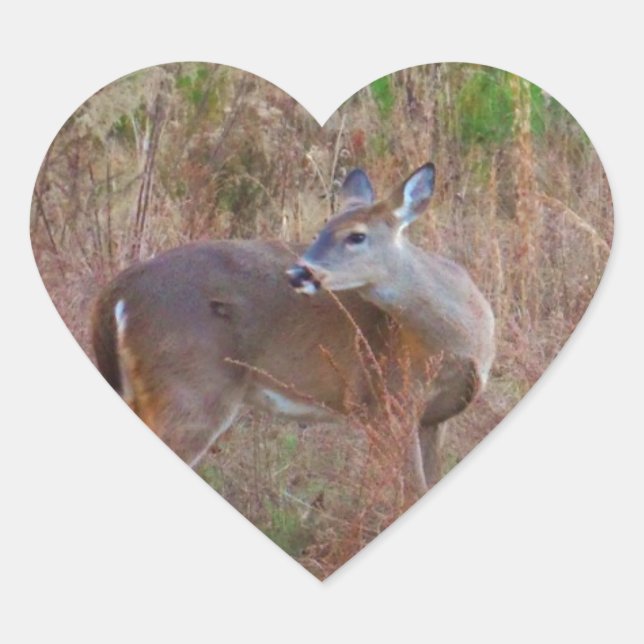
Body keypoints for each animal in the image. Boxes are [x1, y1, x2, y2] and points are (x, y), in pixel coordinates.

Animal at [92, 162, 495, 498]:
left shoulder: (432, 418)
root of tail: (118, 291)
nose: (300, 272)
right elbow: (408, 492)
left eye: (356, 236)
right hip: (190, 389)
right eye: (322, 230)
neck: (462, 340)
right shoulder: (387, 401)